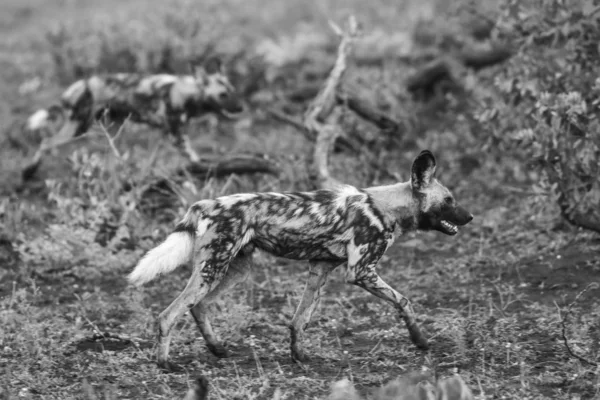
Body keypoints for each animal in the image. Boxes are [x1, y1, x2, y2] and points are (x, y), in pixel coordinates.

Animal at [21, 56, 244, 180]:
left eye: (234, 91)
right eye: (223, 95)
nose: (241, 107)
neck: (187, 92)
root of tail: (79, 84)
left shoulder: (162, 133)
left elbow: (153, 159)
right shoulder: (176, 135)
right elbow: (194, 157)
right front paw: (210, 167)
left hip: (104, 126)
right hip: (78, 127)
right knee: (46, 142)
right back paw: (28, 172)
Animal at [127, 150, 474, 372]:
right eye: (448, 200)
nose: (470, 216)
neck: (386, 207)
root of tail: (204, 203)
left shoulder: (320, 269)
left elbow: (299, 320)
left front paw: (299, 357)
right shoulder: (361, 272)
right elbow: (404, 301)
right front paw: (420, 341)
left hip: (235, 270)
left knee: (197, 306)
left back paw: (218, 348)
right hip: (213, 269)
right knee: (168, 314)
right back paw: (165, 364)